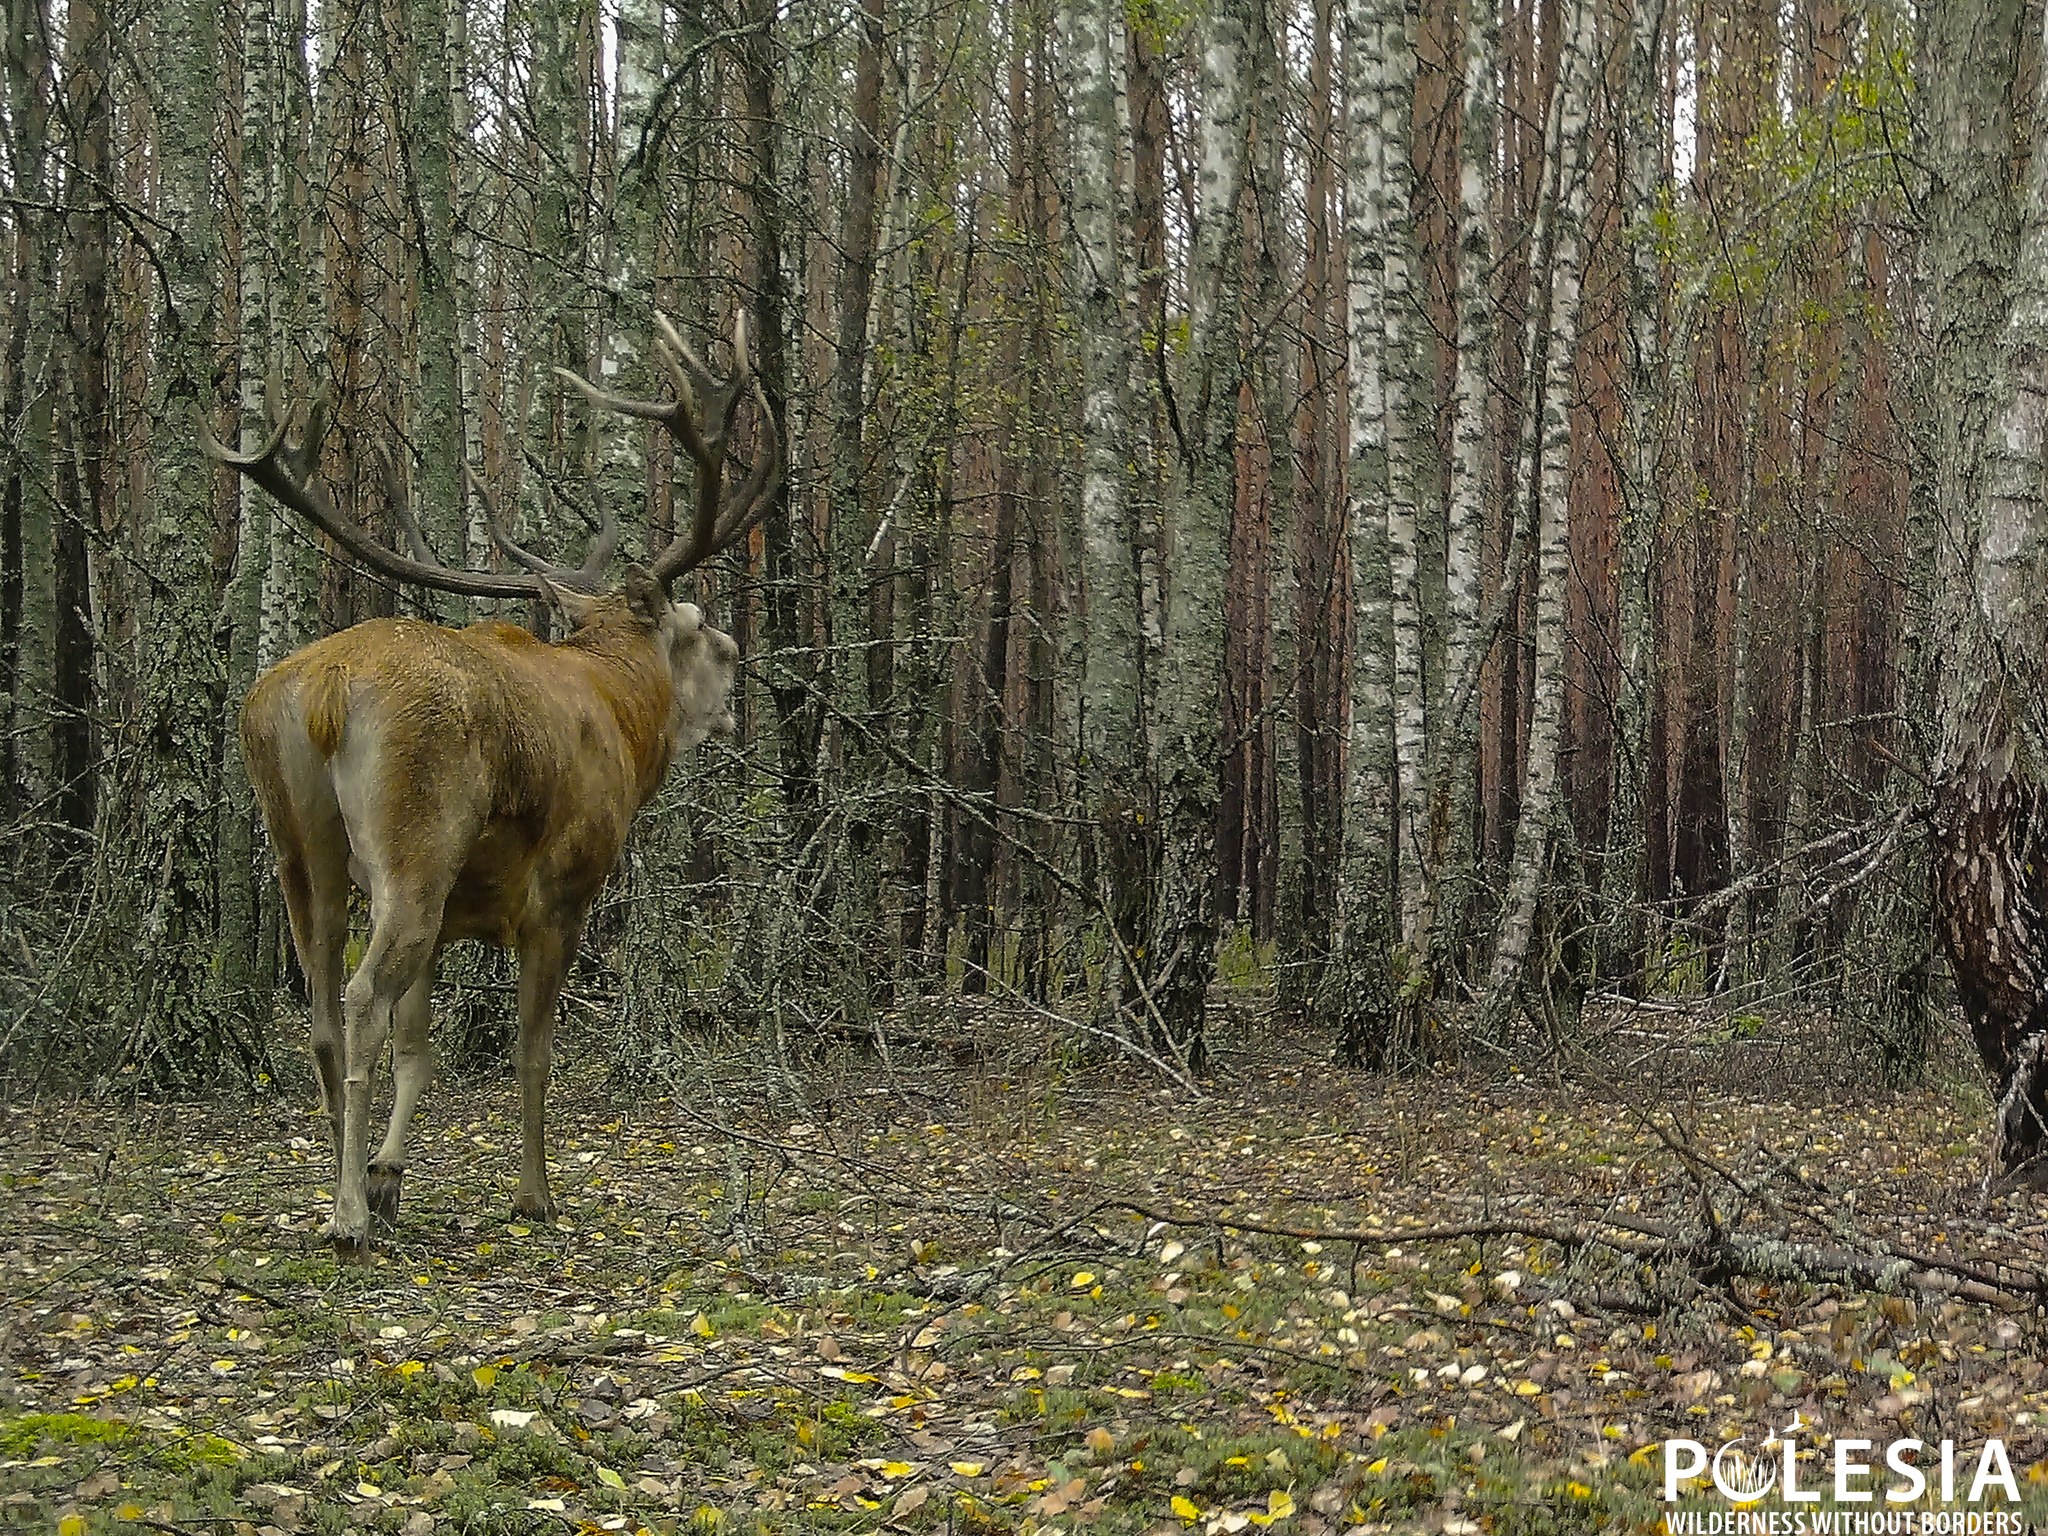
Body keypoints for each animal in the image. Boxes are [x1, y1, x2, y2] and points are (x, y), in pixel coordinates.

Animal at [202, 315, 778, 1260]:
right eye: (702, 633)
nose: (740, 681)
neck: (627, 720)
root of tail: (326, 687)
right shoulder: (561, 893)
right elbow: (529, 1051)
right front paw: (533, 1195)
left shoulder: (457, 915)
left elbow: (420, 1047)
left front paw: (390, 1174)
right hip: (415, 843)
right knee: (360, 996)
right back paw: (346, 1219)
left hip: (299, 841)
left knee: (322, 1007)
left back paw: (341, 1184)